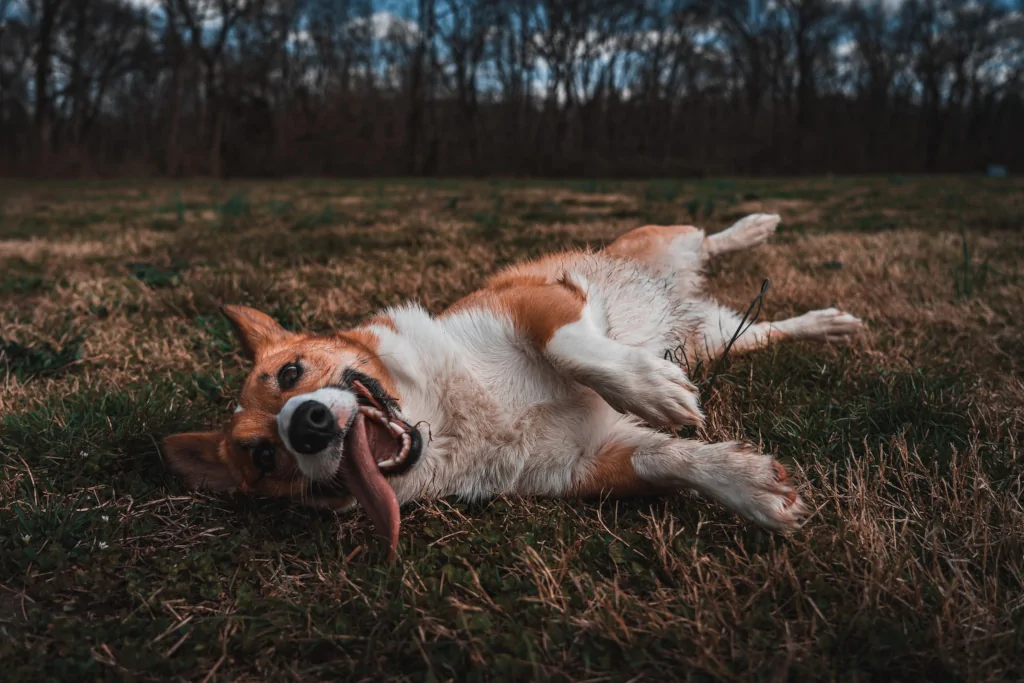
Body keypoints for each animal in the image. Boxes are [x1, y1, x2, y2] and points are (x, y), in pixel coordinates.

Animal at [161, 215, 864, 561]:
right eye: (263, 457)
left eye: (289, 374)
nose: (304, 425)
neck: (448, 417)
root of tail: (685, 300)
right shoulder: (593, 460)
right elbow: (670, 459)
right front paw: (750, 489)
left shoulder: (535, 301)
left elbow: (574, 348)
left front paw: (649, 388)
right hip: (721, 338)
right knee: (766, 328)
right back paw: (827, 325)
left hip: (659, 249)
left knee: (706, 238)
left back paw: (758, 226)